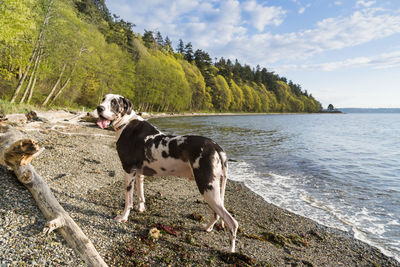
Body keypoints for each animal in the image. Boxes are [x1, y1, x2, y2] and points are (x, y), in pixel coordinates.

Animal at [97, 94, 239, 253]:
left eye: (114, 102)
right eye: (103, 99)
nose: (99, 108)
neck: (126, 123)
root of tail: (216, 146)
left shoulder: (128, 171)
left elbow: (128, 201)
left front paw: (123, 217)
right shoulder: (139, 173)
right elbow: (141, 195)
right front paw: (141, 208)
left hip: (207, 188)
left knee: (232, 222)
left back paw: (230, 251)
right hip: (211, 189)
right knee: (215, 215)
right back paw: (206, 228)